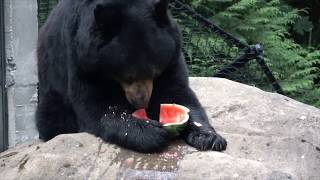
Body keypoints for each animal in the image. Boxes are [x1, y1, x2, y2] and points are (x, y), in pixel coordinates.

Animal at [36, 0, 228, 153]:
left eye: (155, 72)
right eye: (126, 76)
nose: (141, 102)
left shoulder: (172, 54)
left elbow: (178, 92)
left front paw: (209, 137)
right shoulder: (81, 58)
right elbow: (97, 106)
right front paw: (150, 132)